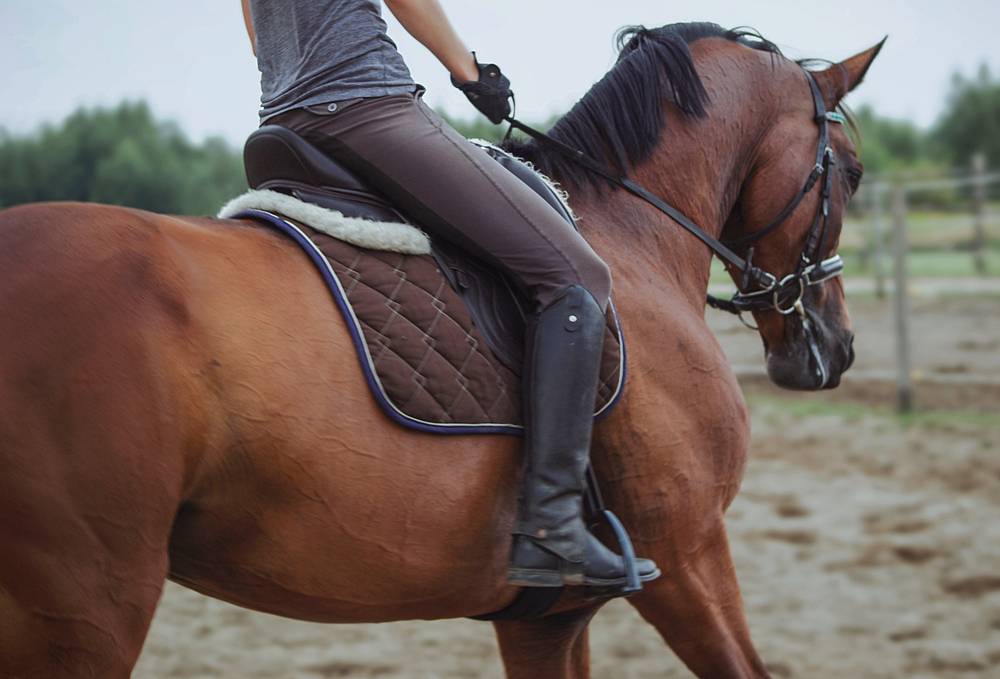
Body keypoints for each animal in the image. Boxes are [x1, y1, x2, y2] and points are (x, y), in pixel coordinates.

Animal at [0, 21, 876, 679]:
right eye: (854, 173)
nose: (835, 346)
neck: (631, 240)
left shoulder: (543, 619)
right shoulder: (688, 554)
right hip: (87, 604)